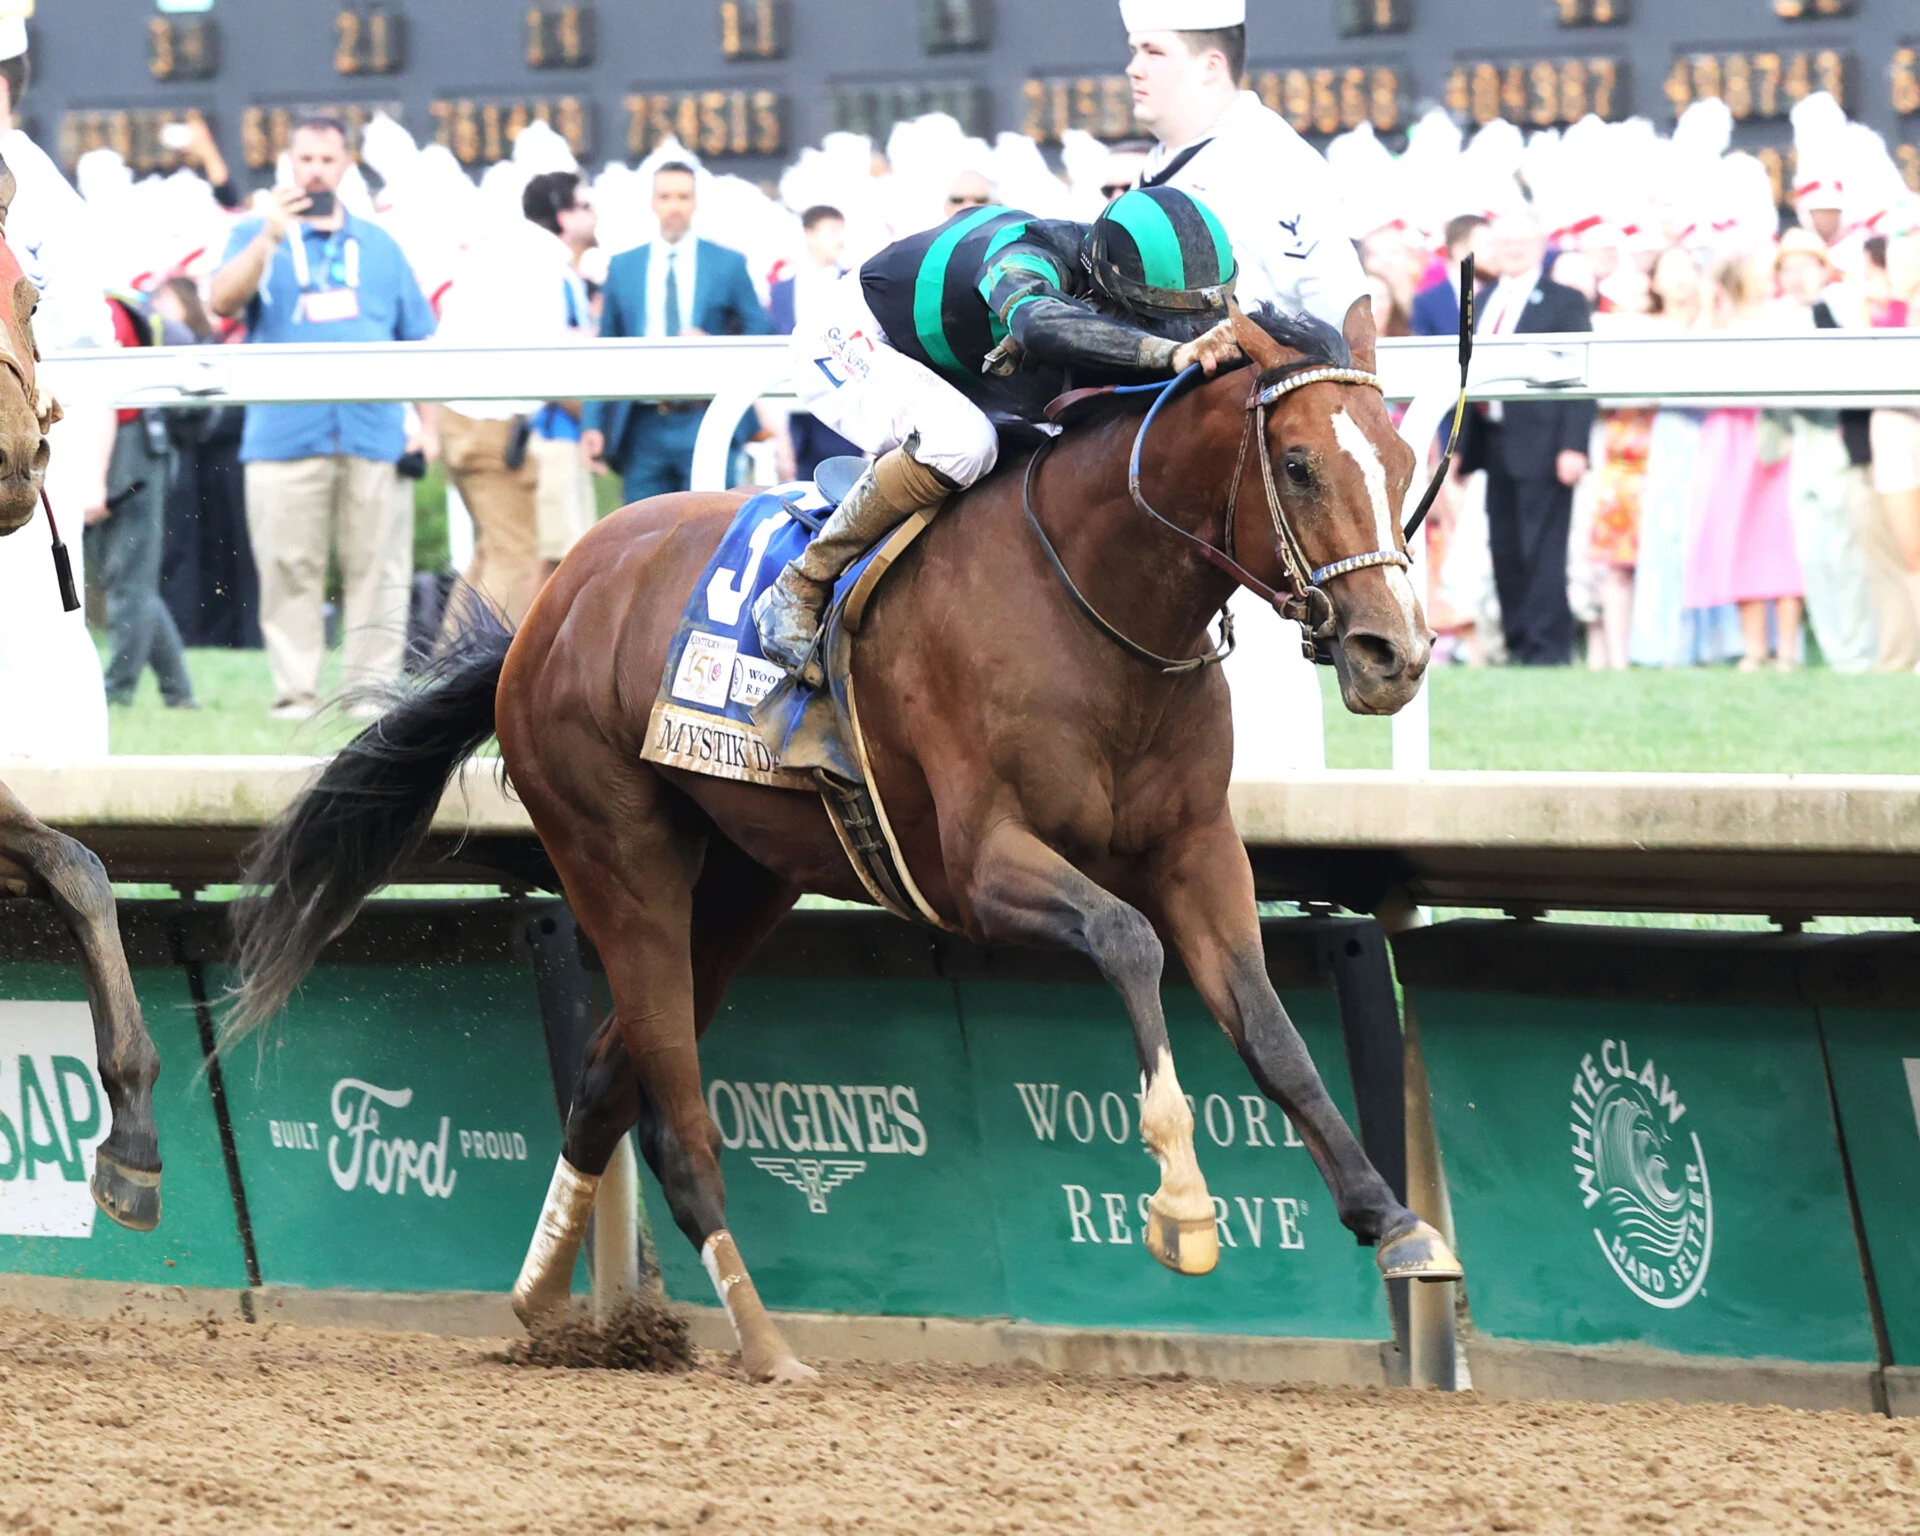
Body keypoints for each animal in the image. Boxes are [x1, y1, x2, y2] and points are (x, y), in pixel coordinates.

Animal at [230, 301, 1461, 1382]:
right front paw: (1183, 1203)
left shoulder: (1198, 849)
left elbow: (1269, 1029)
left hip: (740, 885)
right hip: (615, 853)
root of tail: (548, 603)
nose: (1394, 654)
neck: (1099, 604)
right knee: (677, 1121)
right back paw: (765, 1344)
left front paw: (1395, 1221)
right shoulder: (983, 864)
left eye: (1404, 460)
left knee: (605, 1081)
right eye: (1298, 463)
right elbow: (1127, 942)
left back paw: (543, 1303)